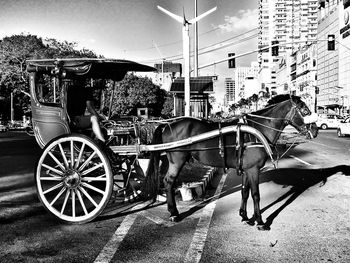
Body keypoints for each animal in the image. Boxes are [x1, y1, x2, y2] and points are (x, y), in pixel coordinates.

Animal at [142, 95, 318, 231]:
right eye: (305, 111)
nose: (315, 130)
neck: (256, 131)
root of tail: (166, 125)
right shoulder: (254, 170)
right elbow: (256, 195)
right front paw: (260, 221)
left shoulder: (247, 170)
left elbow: (245, 192)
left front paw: (245, 216)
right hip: (177, 160)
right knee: (169, 182)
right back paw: (174, 213)